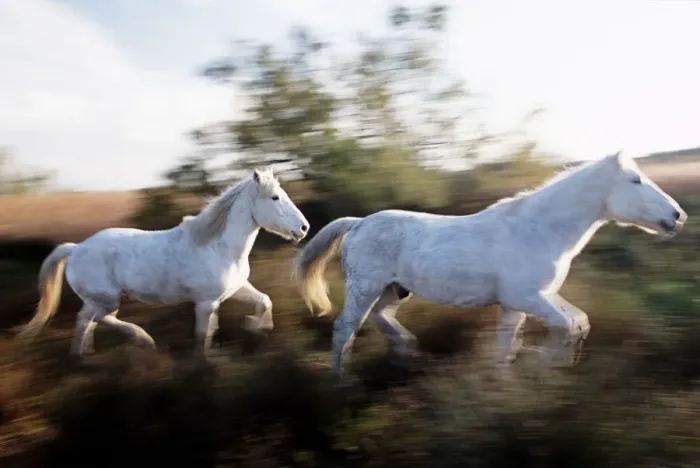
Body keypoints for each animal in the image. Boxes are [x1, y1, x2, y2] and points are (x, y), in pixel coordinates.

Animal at [15, 167, 310, 359]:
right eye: (275, 197)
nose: (304, 228)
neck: (217, 247)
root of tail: (76, 248)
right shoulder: (206, 303)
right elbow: (204, 334)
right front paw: (204, 364)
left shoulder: (235, 290)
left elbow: (264, 301)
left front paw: (255, 327)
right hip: (107, 298)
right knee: (98, 318)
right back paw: (143, 340)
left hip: (98, 298)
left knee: (84, 321)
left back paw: (81, 359)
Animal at [294, 151, 688, 379]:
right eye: (635, 180)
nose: (678, 216)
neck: (539, 230)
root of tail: (359, 222)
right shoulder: (528, 298)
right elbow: (569, 327)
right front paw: (542, 363)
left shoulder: (526, 302)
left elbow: (551, 331)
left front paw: (509, 384)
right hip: (364, 288)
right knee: (345, 328)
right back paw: (341, 381)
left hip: (394, 289)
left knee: (381, 317)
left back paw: (405, 353)